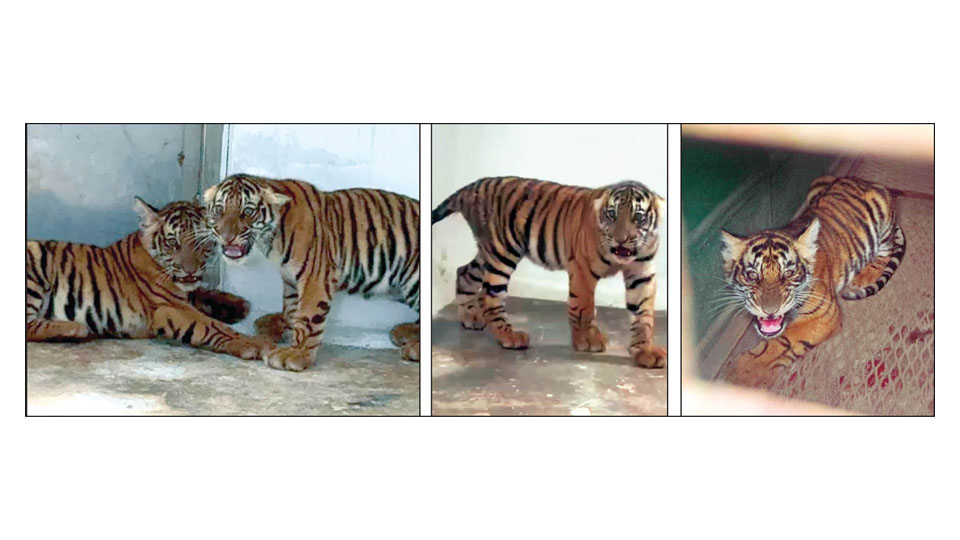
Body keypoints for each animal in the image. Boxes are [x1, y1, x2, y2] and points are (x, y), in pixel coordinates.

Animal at [26, 197, 270, 361]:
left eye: (201, 243)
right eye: (173, 243)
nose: (190, 271)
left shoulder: (182, 295)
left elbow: (201, 293)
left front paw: (238, 305)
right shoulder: (168, 309)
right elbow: (214, 326)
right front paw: (254, 344)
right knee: (29, 326)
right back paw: (75, 329)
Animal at [202, 174, 421, 371]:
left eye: (247, 211)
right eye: (219, 209)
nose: (227, 236)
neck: (271, 238)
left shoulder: (315, 277)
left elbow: (307, 316)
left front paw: (295, 354)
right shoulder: (290, 279)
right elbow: (291, 309)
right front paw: (285, 329)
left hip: (411, 279)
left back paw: (413, 347)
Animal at [432, 176, 667, 368]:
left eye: (638, 217)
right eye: (611, 215)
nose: (621, 240)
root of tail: (473, 185)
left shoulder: (642, 273)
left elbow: (643, 315)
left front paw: (645, 351)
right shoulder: (582, 268)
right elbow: (584, 307)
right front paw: (588, 340)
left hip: (486, 253)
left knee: (464, 273)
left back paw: (470, 318)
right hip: (502, 252)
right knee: (489, 296)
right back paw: (510, 336)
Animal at [719, 175, 906, 387]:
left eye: (789, 272)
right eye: (751, 275)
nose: (770, 310)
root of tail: (863, 181)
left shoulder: (824, 314)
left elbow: (784, 341)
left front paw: (742, 372)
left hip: (883, 216)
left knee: (885, 251)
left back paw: (863, 276)